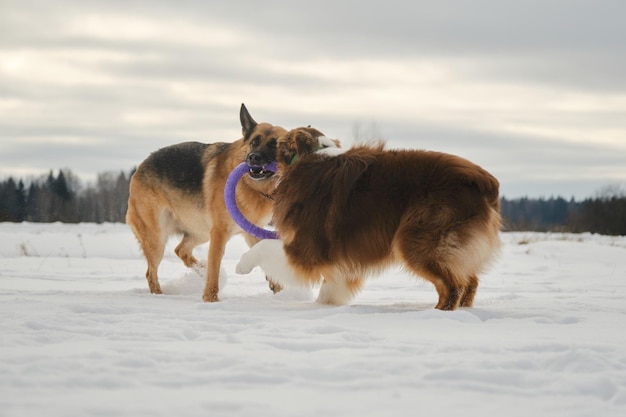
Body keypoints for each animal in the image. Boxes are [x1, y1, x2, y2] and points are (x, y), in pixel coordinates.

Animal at [127, 103, 288, 300]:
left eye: (274, 144)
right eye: (254, 142)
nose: (253, 158)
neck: (252, 187)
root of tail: (140, 166)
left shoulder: (250, 231)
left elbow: (261, 252)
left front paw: (280, 290)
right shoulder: (219, 233)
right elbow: (214, 269)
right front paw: (210, 299)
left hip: (200, 232)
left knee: (180, 250)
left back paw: (200, 271)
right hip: (156, 239)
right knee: (151, 273)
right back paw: (160, 295)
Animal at [236, 127, 500, 308]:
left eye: (274, 142)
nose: (250, 158)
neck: (309, 155)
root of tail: (485, 181)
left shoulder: (306, 248)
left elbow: (265, 245)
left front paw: (242, 265)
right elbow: (332, 284)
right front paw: (325, 306)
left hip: (416, 240)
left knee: (454, 286)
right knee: (470, 282)